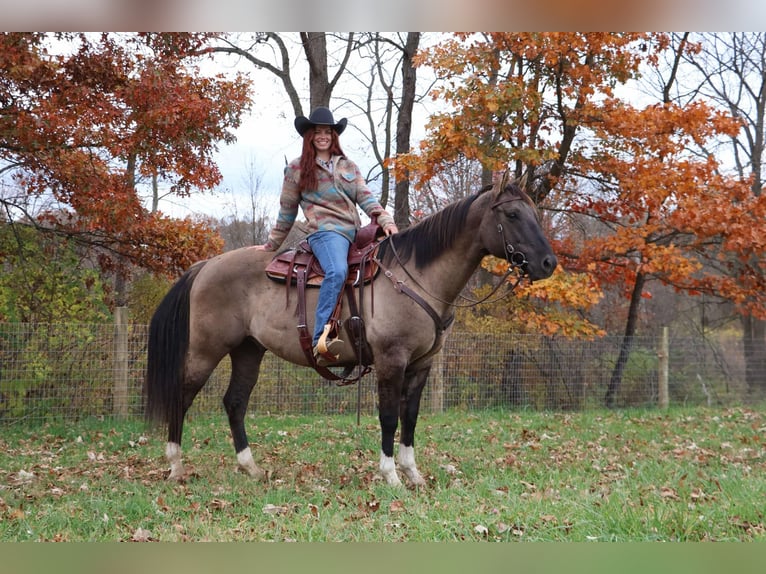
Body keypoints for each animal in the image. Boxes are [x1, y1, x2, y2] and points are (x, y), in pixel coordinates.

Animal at [146, 176, 560, 486]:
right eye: (512, 214)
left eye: (533, 213)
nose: (547, 263)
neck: (417, 276)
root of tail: (206, 265)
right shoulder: (391, 361)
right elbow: (389, 417)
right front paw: (391, 476)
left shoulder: (422, 365)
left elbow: (410, 418)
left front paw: (413, 474)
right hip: (206, 349)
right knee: (182, 396)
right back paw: (176, 466)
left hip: (248, 350)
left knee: (234, 402)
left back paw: (251, 468)